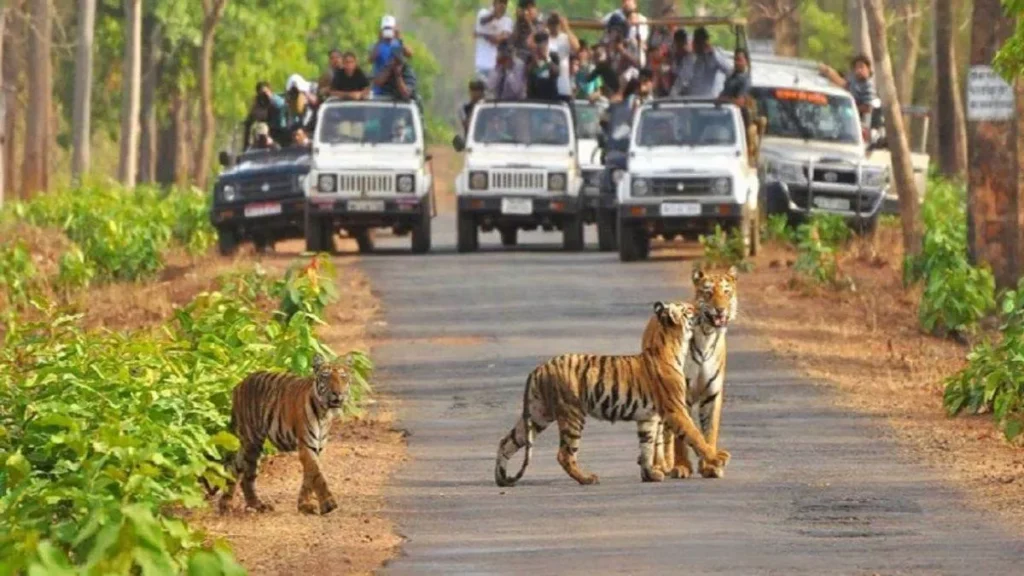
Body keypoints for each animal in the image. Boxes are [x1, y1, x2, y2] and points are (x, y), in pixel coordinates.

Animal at [212, 352, 352, 512]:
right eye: (326, 376)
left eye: (343, 377)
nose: (337, 393)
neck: (325, 412)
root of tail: (239, 384)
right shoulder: (306, 445)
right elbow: (317, 474)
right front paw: (328, 504)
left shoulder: (318, 447)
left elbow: (309, 476)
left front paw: (304, 504)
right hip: (253, 442)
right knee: (247, 476)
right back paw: (256, 504)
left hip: (247, 443)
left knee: (235, 466)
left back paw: (226, 503)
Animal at [493, 301, 729, 483]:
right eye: (689, 309)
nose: (702, 309)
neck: (674, 345)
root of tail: (539, 368)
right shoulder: (676, 409)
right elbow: (695, 435)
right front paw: (717, 458)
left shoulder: (648, 418)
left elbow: (647, 446)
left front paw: (650, 474)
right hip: (572, 414)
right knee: (564, 454)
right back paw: (587, 478)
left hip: (538, 414)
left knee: (507, 441)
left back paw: (501, 478)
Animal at [647, 266, 737, 479]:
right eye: (708, 292)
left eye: (726, 292)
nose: (720, 309)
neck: (707, 334)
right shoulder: (681, 395)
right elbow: (682, 436)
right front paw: (681, 466)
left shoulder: (712, 394)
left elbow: (709, 431)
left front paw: (710, 466)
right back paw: (661, 466)